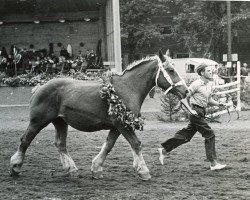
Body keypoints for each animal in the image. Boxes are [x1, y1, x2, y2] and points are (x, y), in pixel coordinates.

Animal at [10, 50, 189, 180]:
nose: (186, 91)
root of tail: (39, 87)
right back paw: (15, 167)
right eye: (171, 70)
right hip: (38, 121)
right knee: (25, 140)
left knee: (60, 144)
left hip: (60, 122)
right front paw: (143, 171)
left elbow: (108, 145)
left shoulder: (117, 126)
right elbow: (136, 144)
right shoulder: (123, 125)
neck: (127, 88)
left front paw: (96, 169)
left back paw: (72, 170)